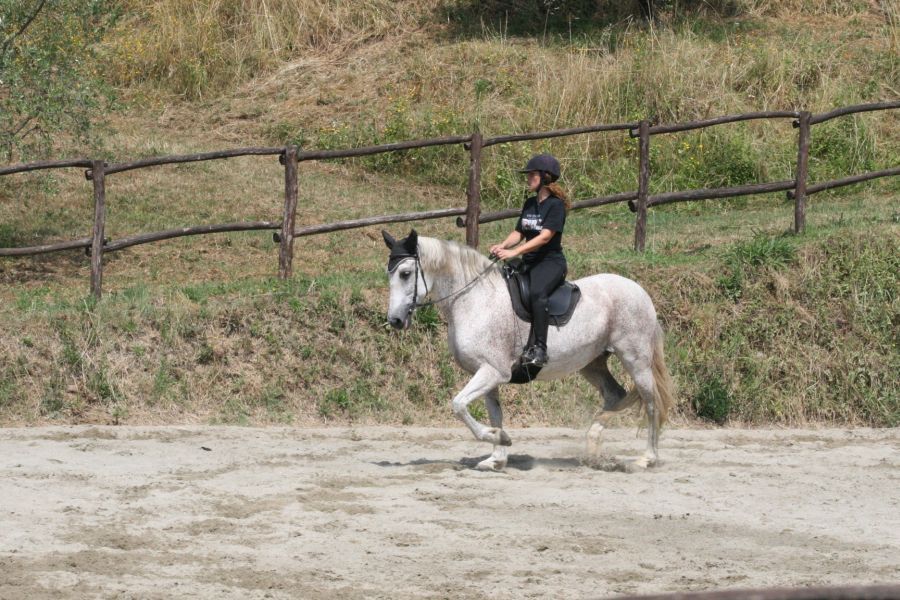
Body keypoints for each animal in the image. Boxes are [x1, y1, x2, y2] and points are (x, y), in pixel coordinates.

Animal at [382, 227, 676, 472]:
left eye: (405, 273)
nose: (395, 320)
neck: (473, 299)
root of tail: (640, 291)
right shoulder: (488, 373)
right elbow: (494, 413)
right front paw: (496, 456)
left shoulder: (492, 371)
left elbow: (458, 405)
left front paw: (498, 438)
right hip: (592, 363)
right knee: (615, 395)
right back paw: (593, 443)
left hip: (635, 359)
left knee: (651, 403)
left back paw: (647, 458)